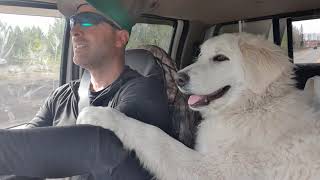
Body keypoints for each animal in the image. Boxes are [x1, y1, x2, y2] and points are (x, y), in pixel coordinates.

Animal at [77, 33, 320, 179]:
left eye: (221, 58)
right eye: (201, 55)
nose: (178, 78)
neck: (253, 108)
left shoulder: (212, 172)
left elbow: (154, 135)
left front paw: (100, 115)